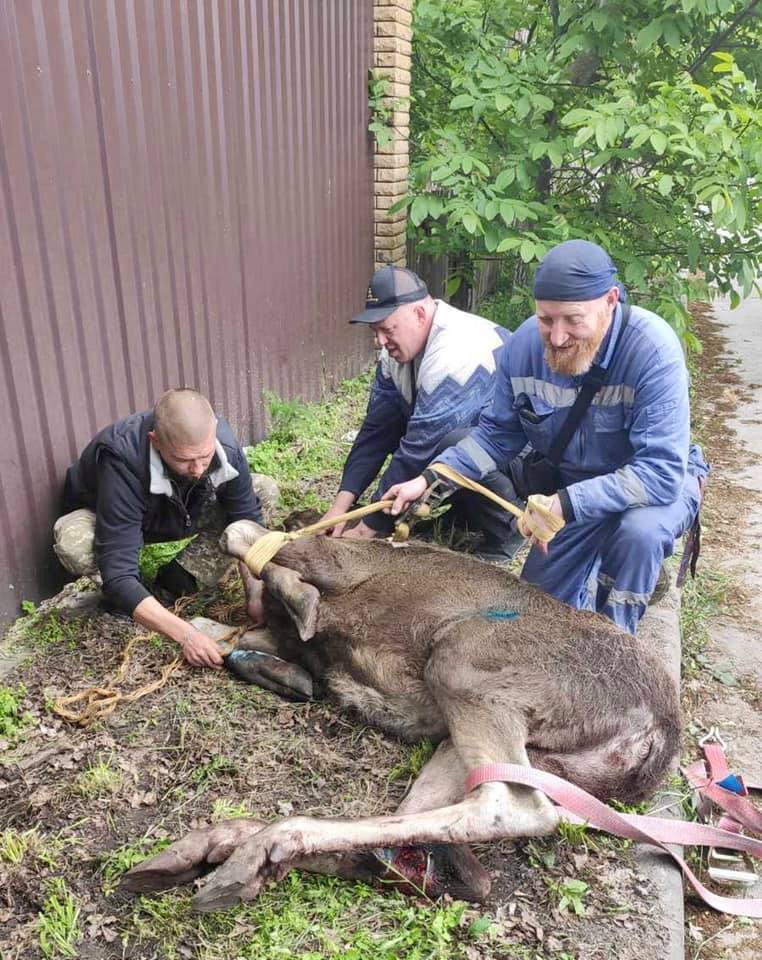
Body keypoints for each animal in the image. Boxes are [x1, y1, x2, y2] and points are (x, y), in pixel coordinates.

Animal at [124, 520, 676, 912]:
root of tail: (656, 740)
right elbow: (227, 632)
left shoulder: (335, 559)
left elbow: (244, 534)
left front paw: (300, 604)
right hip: (504, 747)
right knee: (445, 852)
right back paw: (223, 849)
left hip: (464, 658)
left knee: (511, 810)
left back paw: (260, 845)